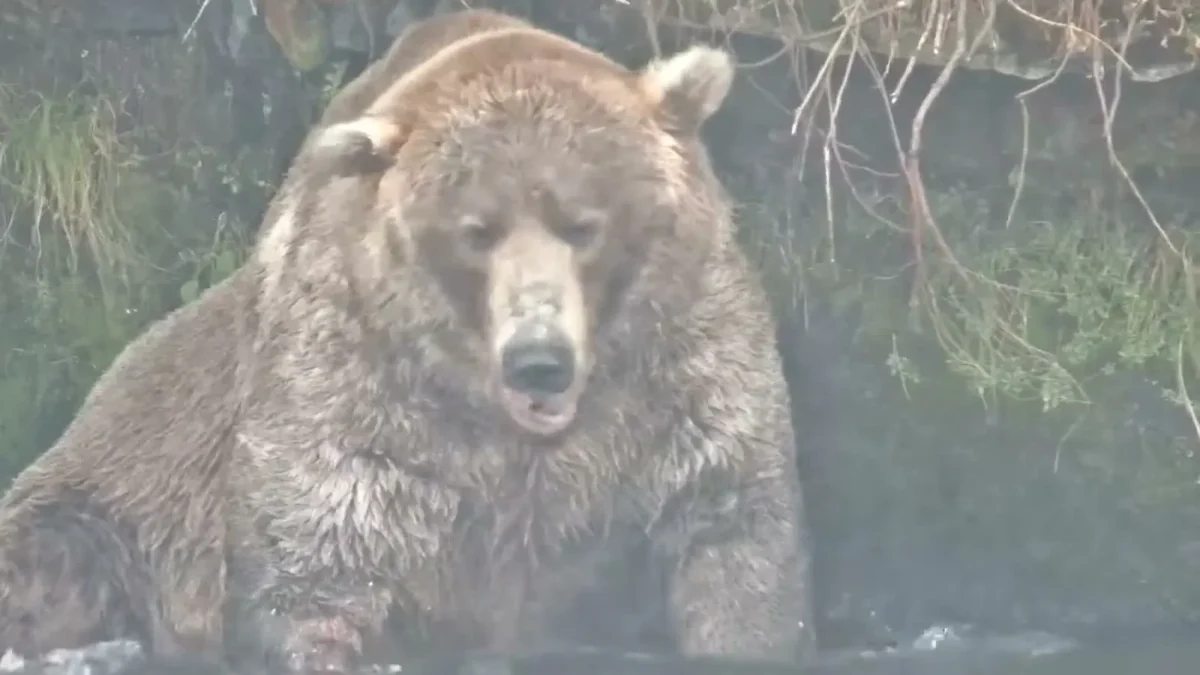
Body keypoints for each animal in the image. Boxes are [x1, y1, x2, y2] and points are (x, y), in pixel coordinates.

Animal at [0, 7, 814, 672]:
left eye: (583, 223)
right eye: (476, 231)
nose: (539, 359)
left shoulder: (682, 375)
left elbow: (733, 530)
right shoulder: (355, 389)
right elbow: (316, 562)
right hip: (110, 500)